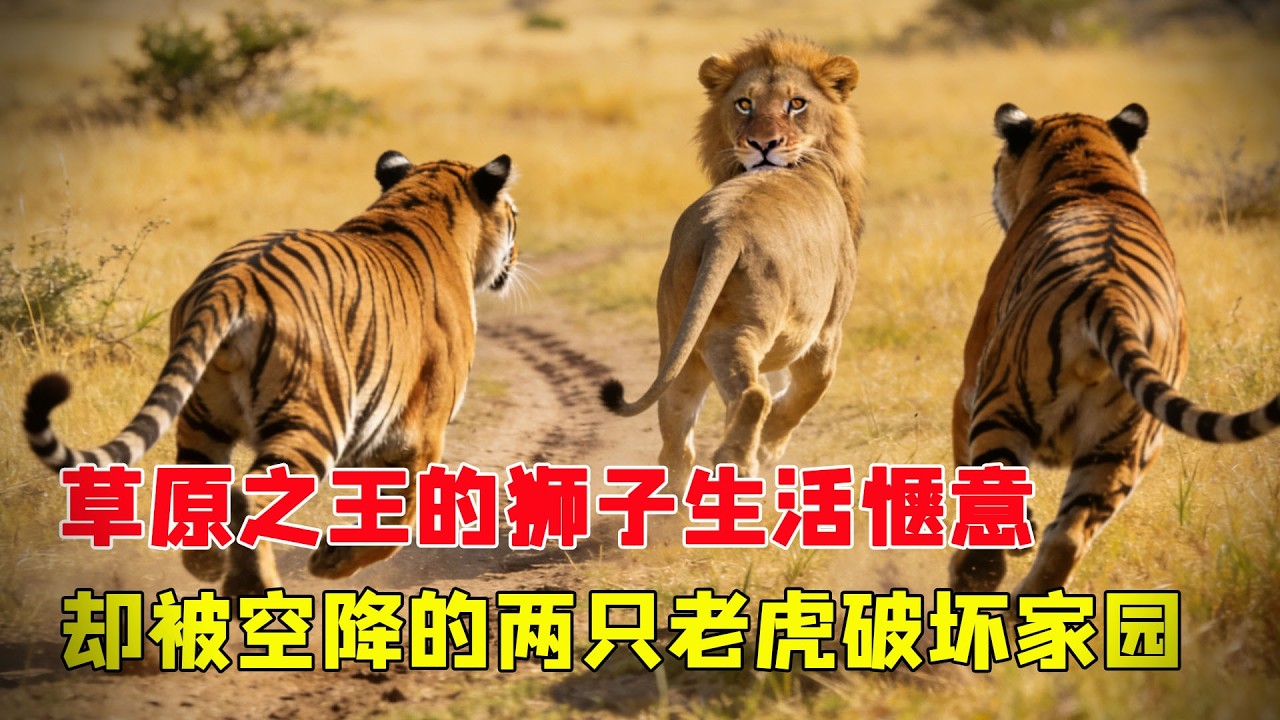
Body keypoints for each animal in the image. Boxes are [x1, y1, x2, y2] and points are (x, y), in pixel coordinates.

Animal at [24, 150, 518, 596]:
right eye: (514, 214)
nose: (513, 262)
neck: (419, 203)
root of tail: (231, 282)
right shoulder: (417, 435)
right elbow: (400, 520)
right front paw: (330, 562)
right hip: (314, 416)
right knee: (247, 495)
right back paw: (252, 586)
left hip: (204, 418)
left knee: (204, 491)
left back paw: (207, 567)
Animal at [949, 102, 1280, 598]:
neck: (1087, 165)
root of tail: (1109, 295)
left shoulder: (969, 386)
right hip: (1123, 446)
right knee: (1067, 537)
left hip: (1003, 402)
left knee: (994, 531)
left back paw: (971, 584)